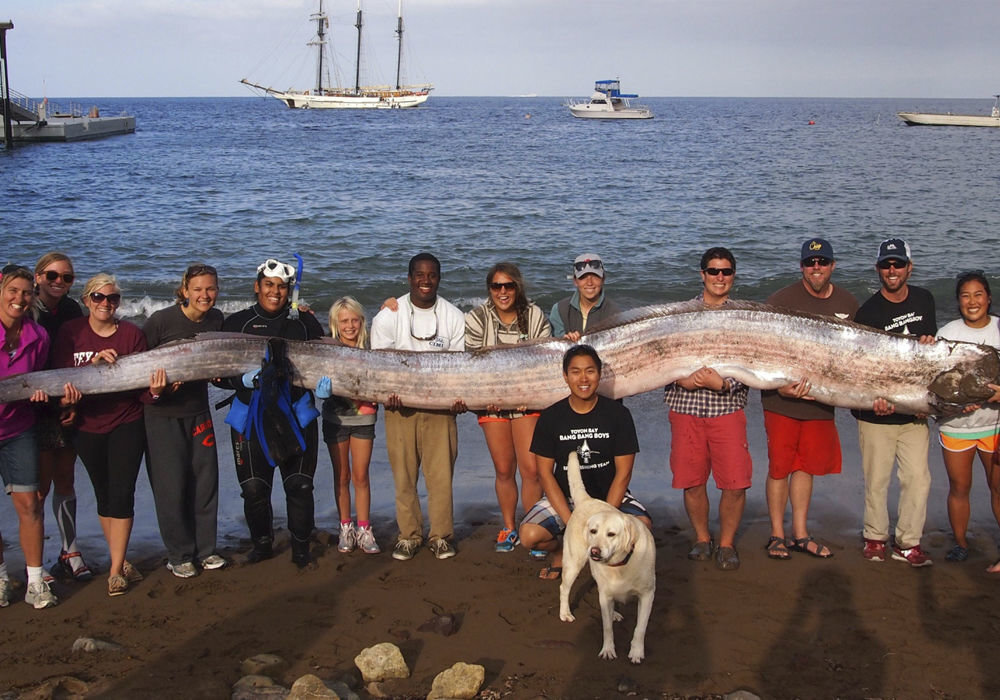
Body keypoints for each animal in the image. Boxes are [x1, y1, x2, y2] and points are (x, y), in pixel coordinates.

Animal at [560, 452, 652, 664]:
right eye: (593, 531)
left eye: (611, 534)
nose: (594, 551)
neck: (622, 563)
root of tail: (587, 500)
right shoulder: (605, 595)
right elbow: (607, 628)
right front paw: (608, 650)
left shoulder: (647, 595)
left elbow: (640, 628)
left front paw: (636, 652)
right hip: (573, 563)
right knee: (564, 588)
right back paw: (565, 613)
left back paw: (615, 613)